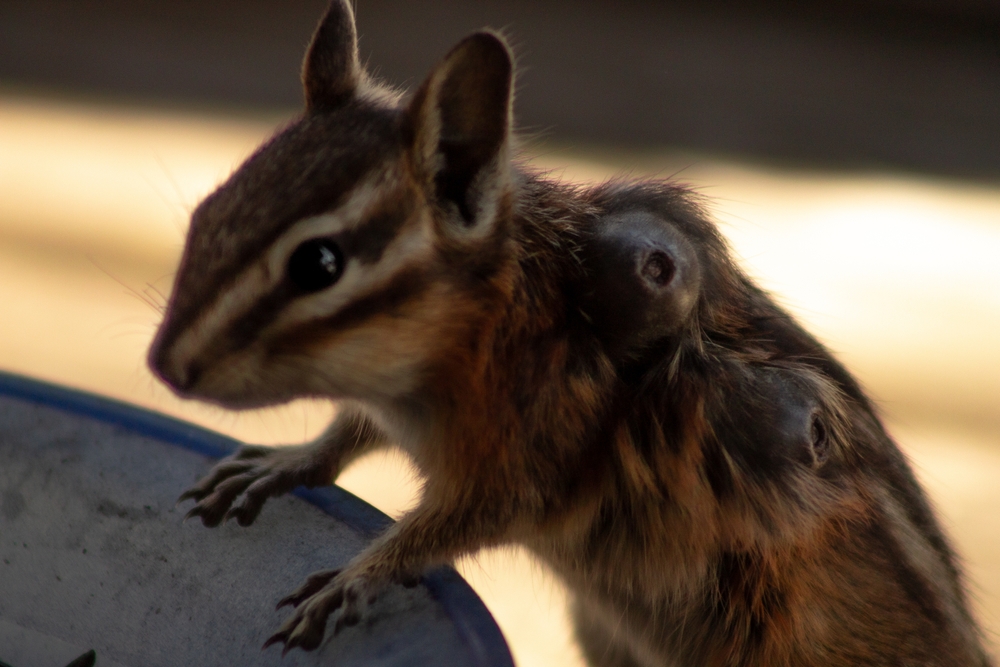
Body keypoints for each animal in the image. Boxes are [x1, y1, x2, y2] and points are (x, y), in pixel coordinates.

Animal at [149, 1, 993, 664]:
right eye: (210, 208)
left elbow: (434, 534)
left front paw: (357, 576)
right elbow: (345, 434)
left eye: (318, 263)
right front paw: (281, 463)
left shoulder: (522, 467)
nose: (164, 365)